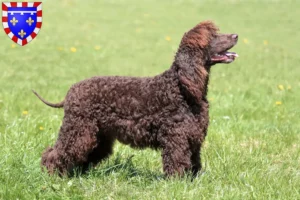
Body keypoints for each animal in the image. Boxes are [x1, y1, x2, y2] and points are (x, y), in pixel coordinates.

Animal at [33, 20, 239, 177]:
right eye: (212, 37)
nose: (236, 35)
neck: (181, 88)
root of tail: (70, 92)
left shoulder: (193, 137)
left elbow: (194, 162)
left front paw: (193, 180)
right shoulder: (176, 138)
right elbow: (177, 162)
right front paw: (177, 183)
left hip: (98, 136)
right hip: (79, 129)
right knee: (56, 153)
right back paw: (52, 175)